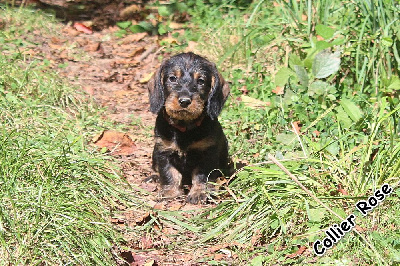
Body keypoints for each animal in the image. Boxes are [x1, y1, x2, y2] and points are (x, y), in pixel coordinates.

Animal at [148, 53, 230, 205]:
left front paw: (198, 193)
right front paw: (170, 192)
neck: (184, 128)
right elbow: (169, 172)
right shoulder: (163, 151)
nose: (184, 101)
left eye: (201, 81)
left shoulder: (207, 153)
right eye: (172, 78)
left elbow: (201, 175)